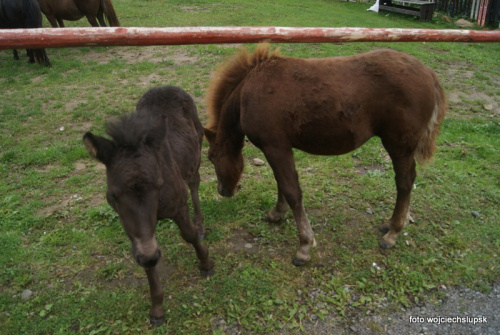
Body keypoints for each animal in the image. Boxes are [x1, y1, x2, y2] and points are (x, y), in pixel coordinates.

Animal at [82, 85, 215, 326]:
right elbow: (146, 259)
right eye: (113, 195)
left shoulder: (179, 205)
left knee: (195, 184)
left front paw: (206, 263)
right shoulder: (133, 230)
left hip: (197, 152)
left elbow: (189, 234)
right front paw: (157, 309)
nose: (150, 255)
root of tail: (165, 87)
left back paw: (201, 225)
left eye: (159, 184)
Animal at [205, 42, 448, 268]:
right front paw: (277, 214)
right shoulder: (277, 149)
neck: (247, 93)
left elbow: (293, 192)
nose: (222, 190)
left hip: (399, 145)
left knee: (405, 183)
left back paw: (393, 233)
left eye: (211, 157)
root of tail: (427, 72)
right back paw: (390, 223)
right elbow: (282, 184)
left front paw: (304, 246)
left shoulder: (276, 147)